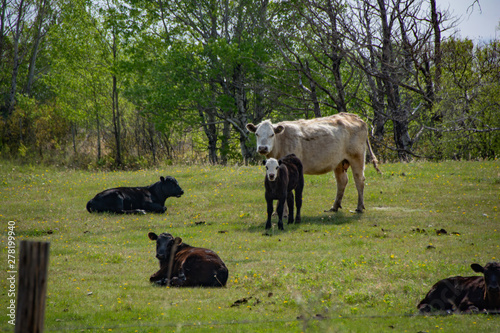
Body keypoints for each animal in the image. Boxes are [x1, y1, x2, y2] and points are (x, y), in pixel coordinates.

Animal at [247, 111, 382, 210]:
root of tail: (354, 116)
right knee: (342, 181)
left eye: (272, 134)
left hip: (357, 157)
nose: (262, 148)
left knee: (359, 180)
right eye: (257, 134)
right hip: (339, 162)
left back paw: (359, 207)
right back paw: (334, 207)